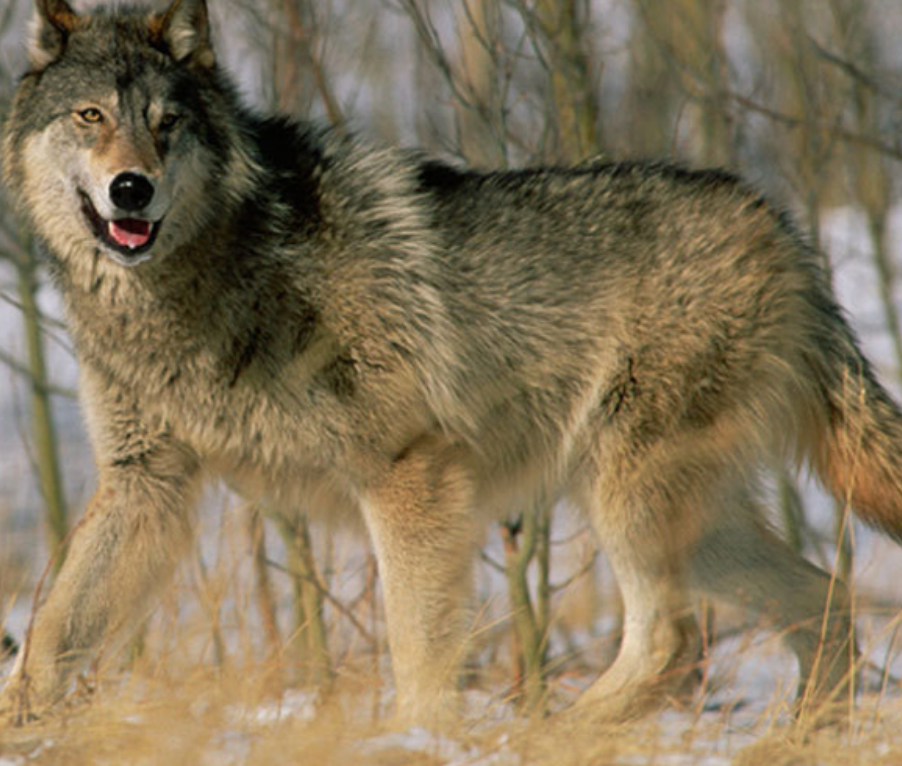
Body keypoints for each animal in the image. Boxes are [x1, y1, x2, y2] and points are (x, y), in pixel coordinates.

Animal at [1, 0, 902, 728]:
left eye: (166, 123)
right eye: (88, 116)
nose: (131, 189)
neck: (198, 282)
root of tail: (781, 226)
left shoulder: (411, 472)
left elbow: (421, 651)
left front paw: (416, 740)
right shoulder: (145, 482)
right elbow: (51, 633)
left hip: (632, 499)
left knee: (674, 641)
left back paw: (553, 736)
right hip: (693, 521)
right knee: (819, 597)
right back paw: (796, 738)